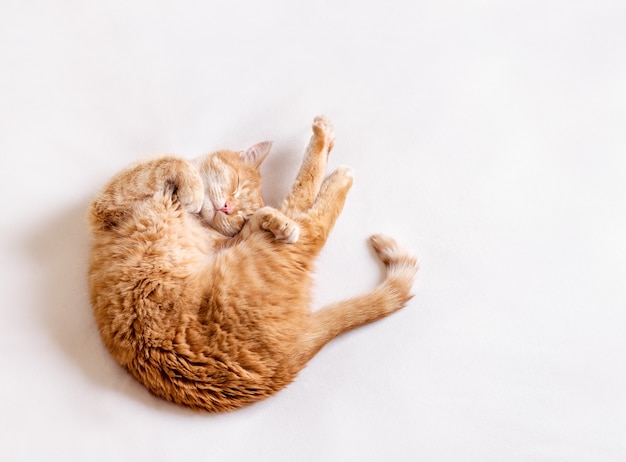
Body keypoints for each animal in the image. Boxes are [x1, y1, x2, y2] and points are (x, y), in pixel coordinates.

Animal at [85, 115, 416, 412]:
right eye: (237, 186)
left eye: (240, 210)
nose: (227, 208)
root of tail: (286, 361)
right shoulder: (110, 203)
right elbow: (175, 162)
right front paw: (198, 189)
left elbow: (173, 164)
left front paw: (270, 219)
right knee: (304, 211)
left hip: (270, 250)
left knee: (310, 216)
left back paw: (333, 166)